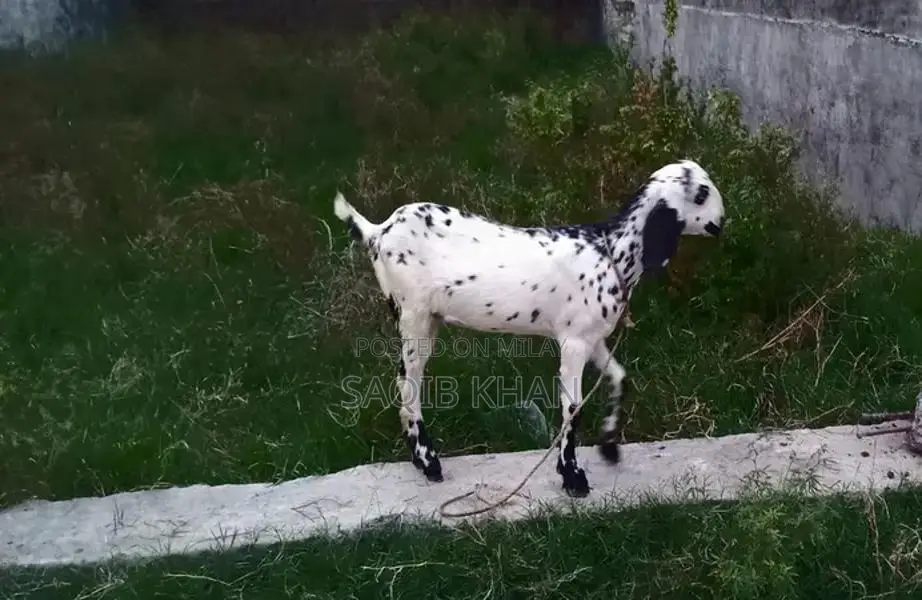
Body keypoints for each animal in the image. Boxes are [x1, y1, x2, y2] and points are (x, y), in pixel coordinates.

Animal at [333, 159, 726, 496]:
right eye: (701, 194)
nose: (722, 221)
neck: (610, 251)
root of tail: (378, 231)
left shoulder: (593, 338)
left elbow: (619, 377)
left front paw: (610, 446)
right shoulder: (573, 342)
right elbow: (573, 406)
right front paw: (572, 476)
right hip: (413, 315)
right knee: (407, 385)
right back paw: (428, 462)